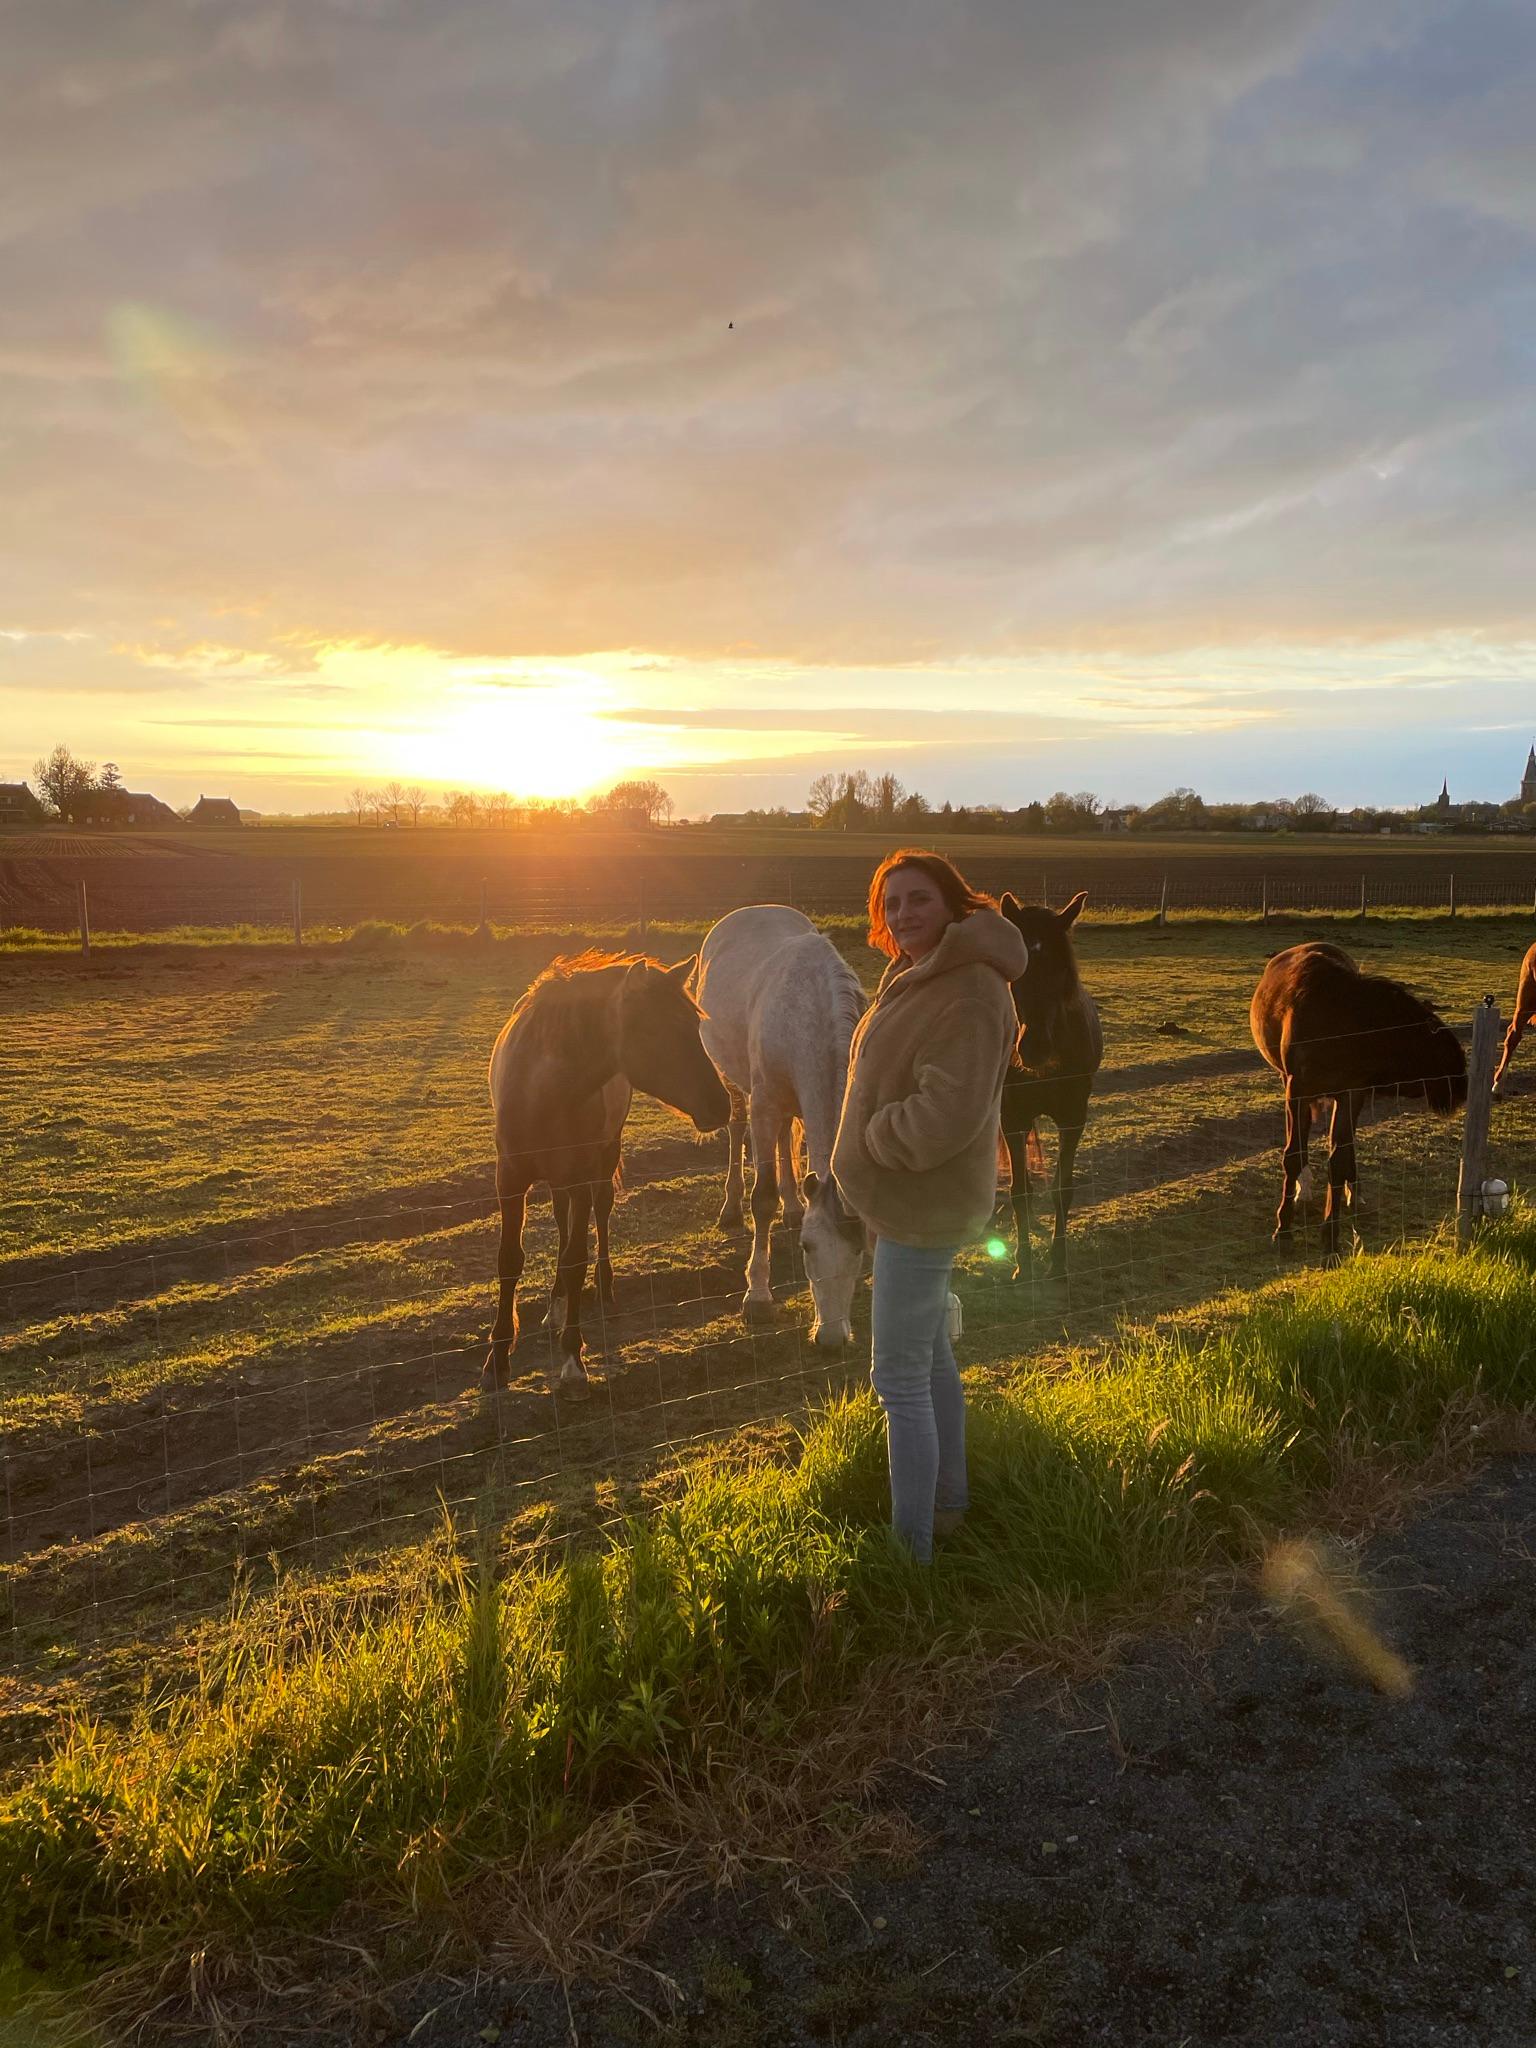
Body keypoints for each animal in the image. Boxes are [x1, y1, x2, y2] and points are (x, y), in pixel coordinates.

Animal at [489, 950, 737, 1400]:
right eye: (656, 1028)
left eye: (694, 1026)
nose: (720, 1104)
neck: (542, 1088)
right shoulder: (510, 1179)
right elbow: (510, 1260)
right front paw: (496, 1361)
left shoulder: (581, 1173)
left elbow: (575, 1259)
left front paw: (573, 1359)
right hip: (560, 1180)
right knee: (563, 1222)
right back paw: (555, 1305)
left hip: (602, 1161)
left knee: (599, 1218)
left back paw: (604, 1289)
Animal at [696, 909, 868, 1343]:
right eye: (807, 1247)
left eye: (859, 1249)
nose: (832, 1338)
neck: (806, 1014)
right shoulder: (764, 1104)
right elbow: (763, 1198)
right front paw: (757, 1296)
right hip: (734, 1083)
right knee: (737, 1129)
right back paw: (731, 1208)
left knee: (785, 1138)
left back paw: (792, 1205)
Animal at [999, 892, 1105, 1277]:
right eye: (1016, 971)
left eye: (1061, 970)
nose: (1034, 1048)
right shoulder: (1012, 1118)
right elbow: (1019, 1191)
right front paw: (1024, 1263)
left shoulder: (1073, 1119)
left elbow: (1063, 1189)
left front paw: (1058, 1260)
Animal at [1253, 946, 1466, 1261]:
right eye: (1434, 1048)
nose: (1462, 1085)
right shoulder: (1297, 1090)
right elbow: (1293, 1155)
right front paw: (1284, 1227)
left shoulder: (1352, 1092)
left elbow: (1339, 1159)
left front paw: (1331, 1235)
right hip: (1289, 1084)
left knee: (1346, 1145)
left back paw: (1353, 1192)